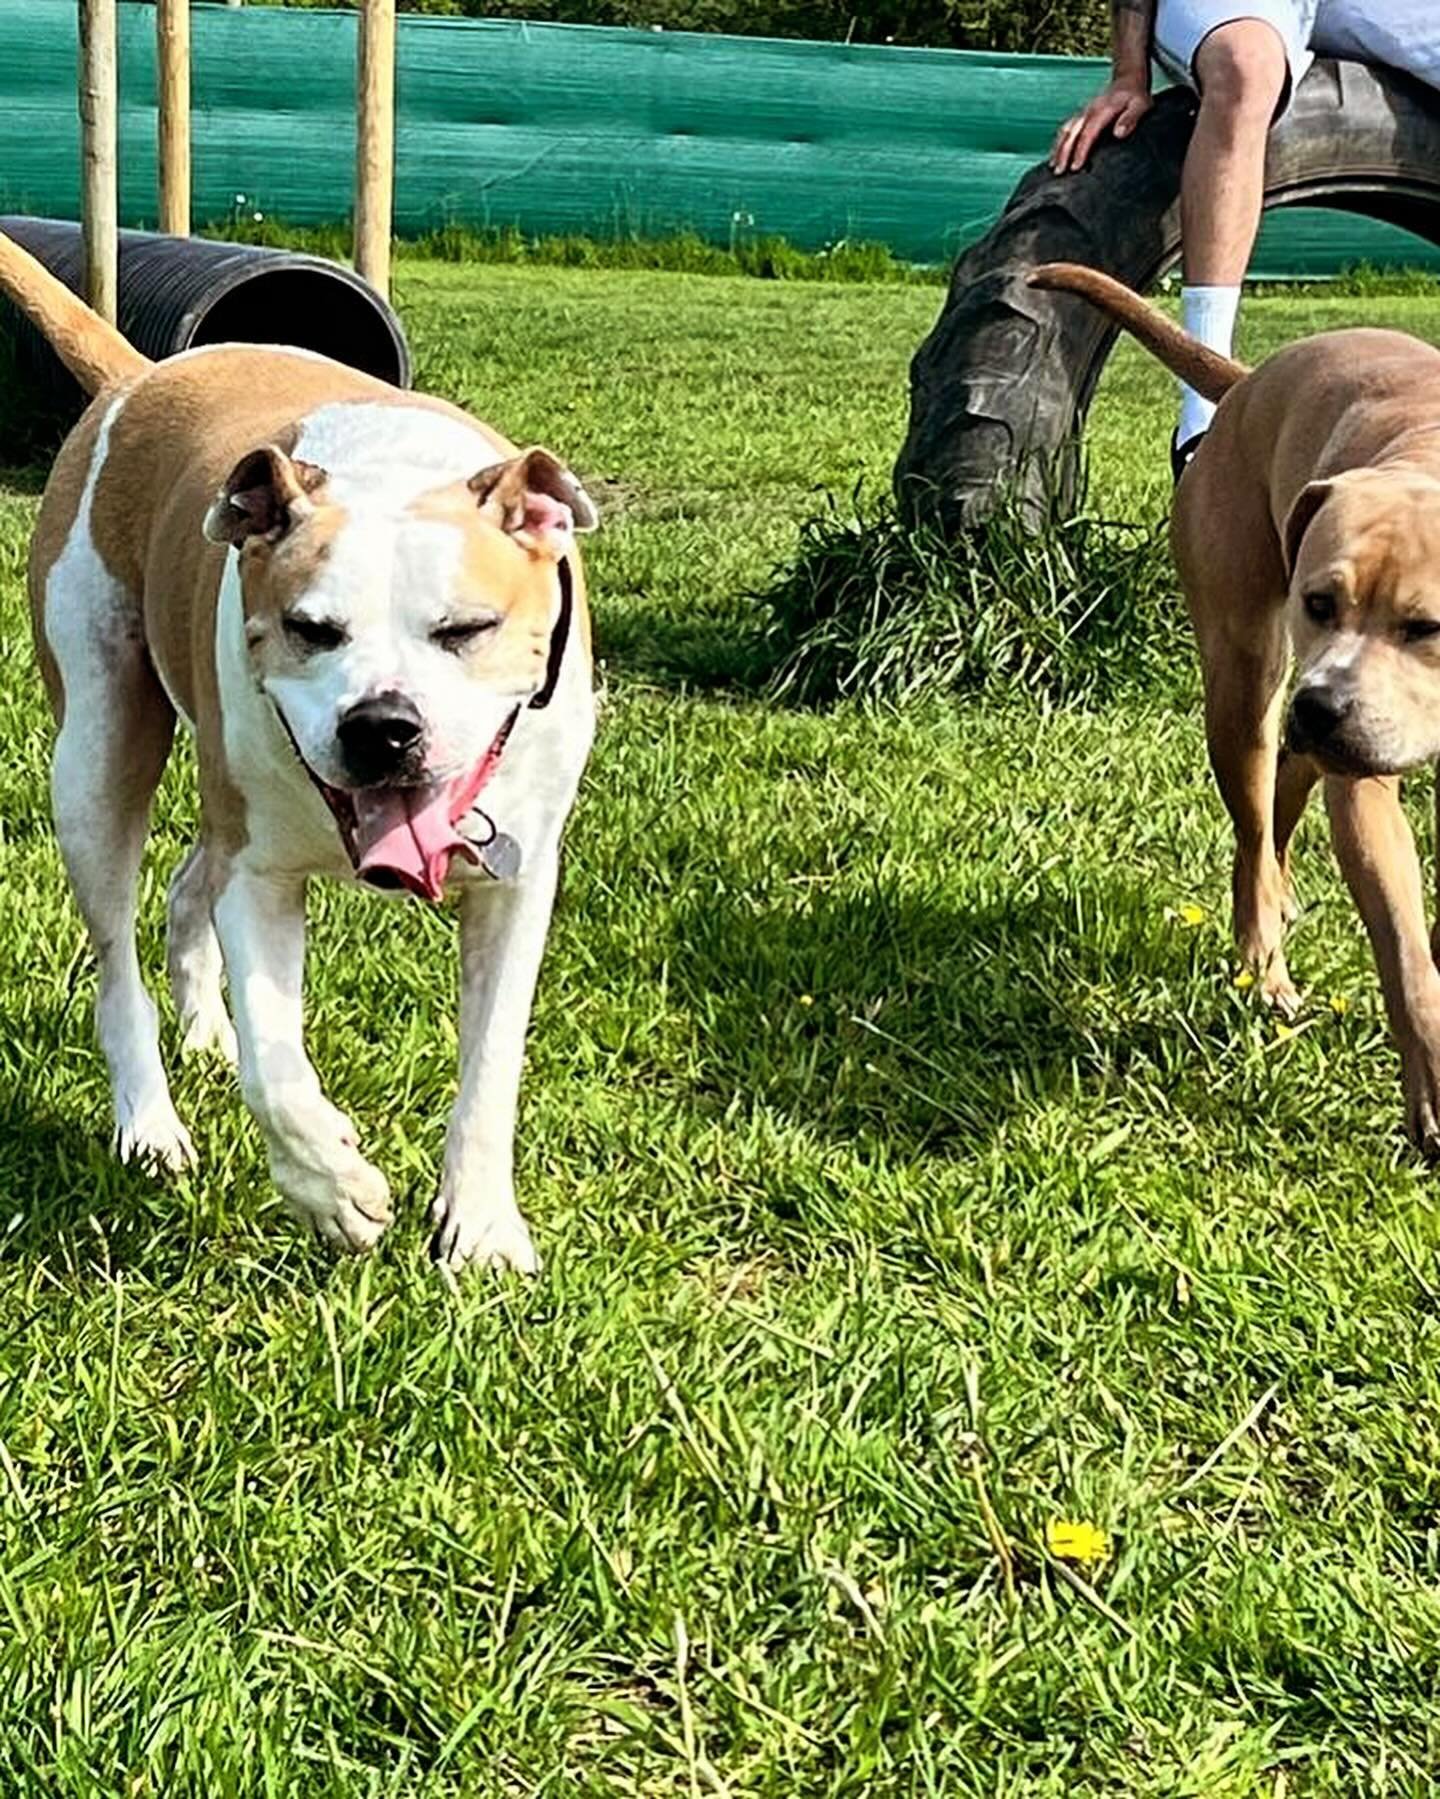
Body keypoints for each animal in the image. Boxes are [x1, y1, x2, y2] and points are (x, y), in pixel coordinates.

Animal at [5, 228, 597, 1266]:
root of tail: (141, 375)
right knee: (118, 963)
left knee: (186, 882)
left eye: (467, 629)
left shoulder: (519, 881)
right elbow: (276, 1069)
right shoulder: (262, 875)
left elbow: (492, 1061)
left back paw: (204, 1030)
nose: (383, 725)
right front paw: (334, 1186)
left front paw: (482, 1226)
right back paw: (150, 1122)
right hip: (96, 757)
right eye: (310, 629)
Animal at [1036, 262, 1440, 1151]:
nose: (1323, 706)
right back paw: (1265, 958)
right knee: (1255, 833)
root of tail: (1250, 379)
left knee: (1286, 788)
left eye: (1426, 625)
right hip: (1244, 680)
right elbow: (1407, 953)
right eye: (1319, 602)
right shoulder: (1363, 786)